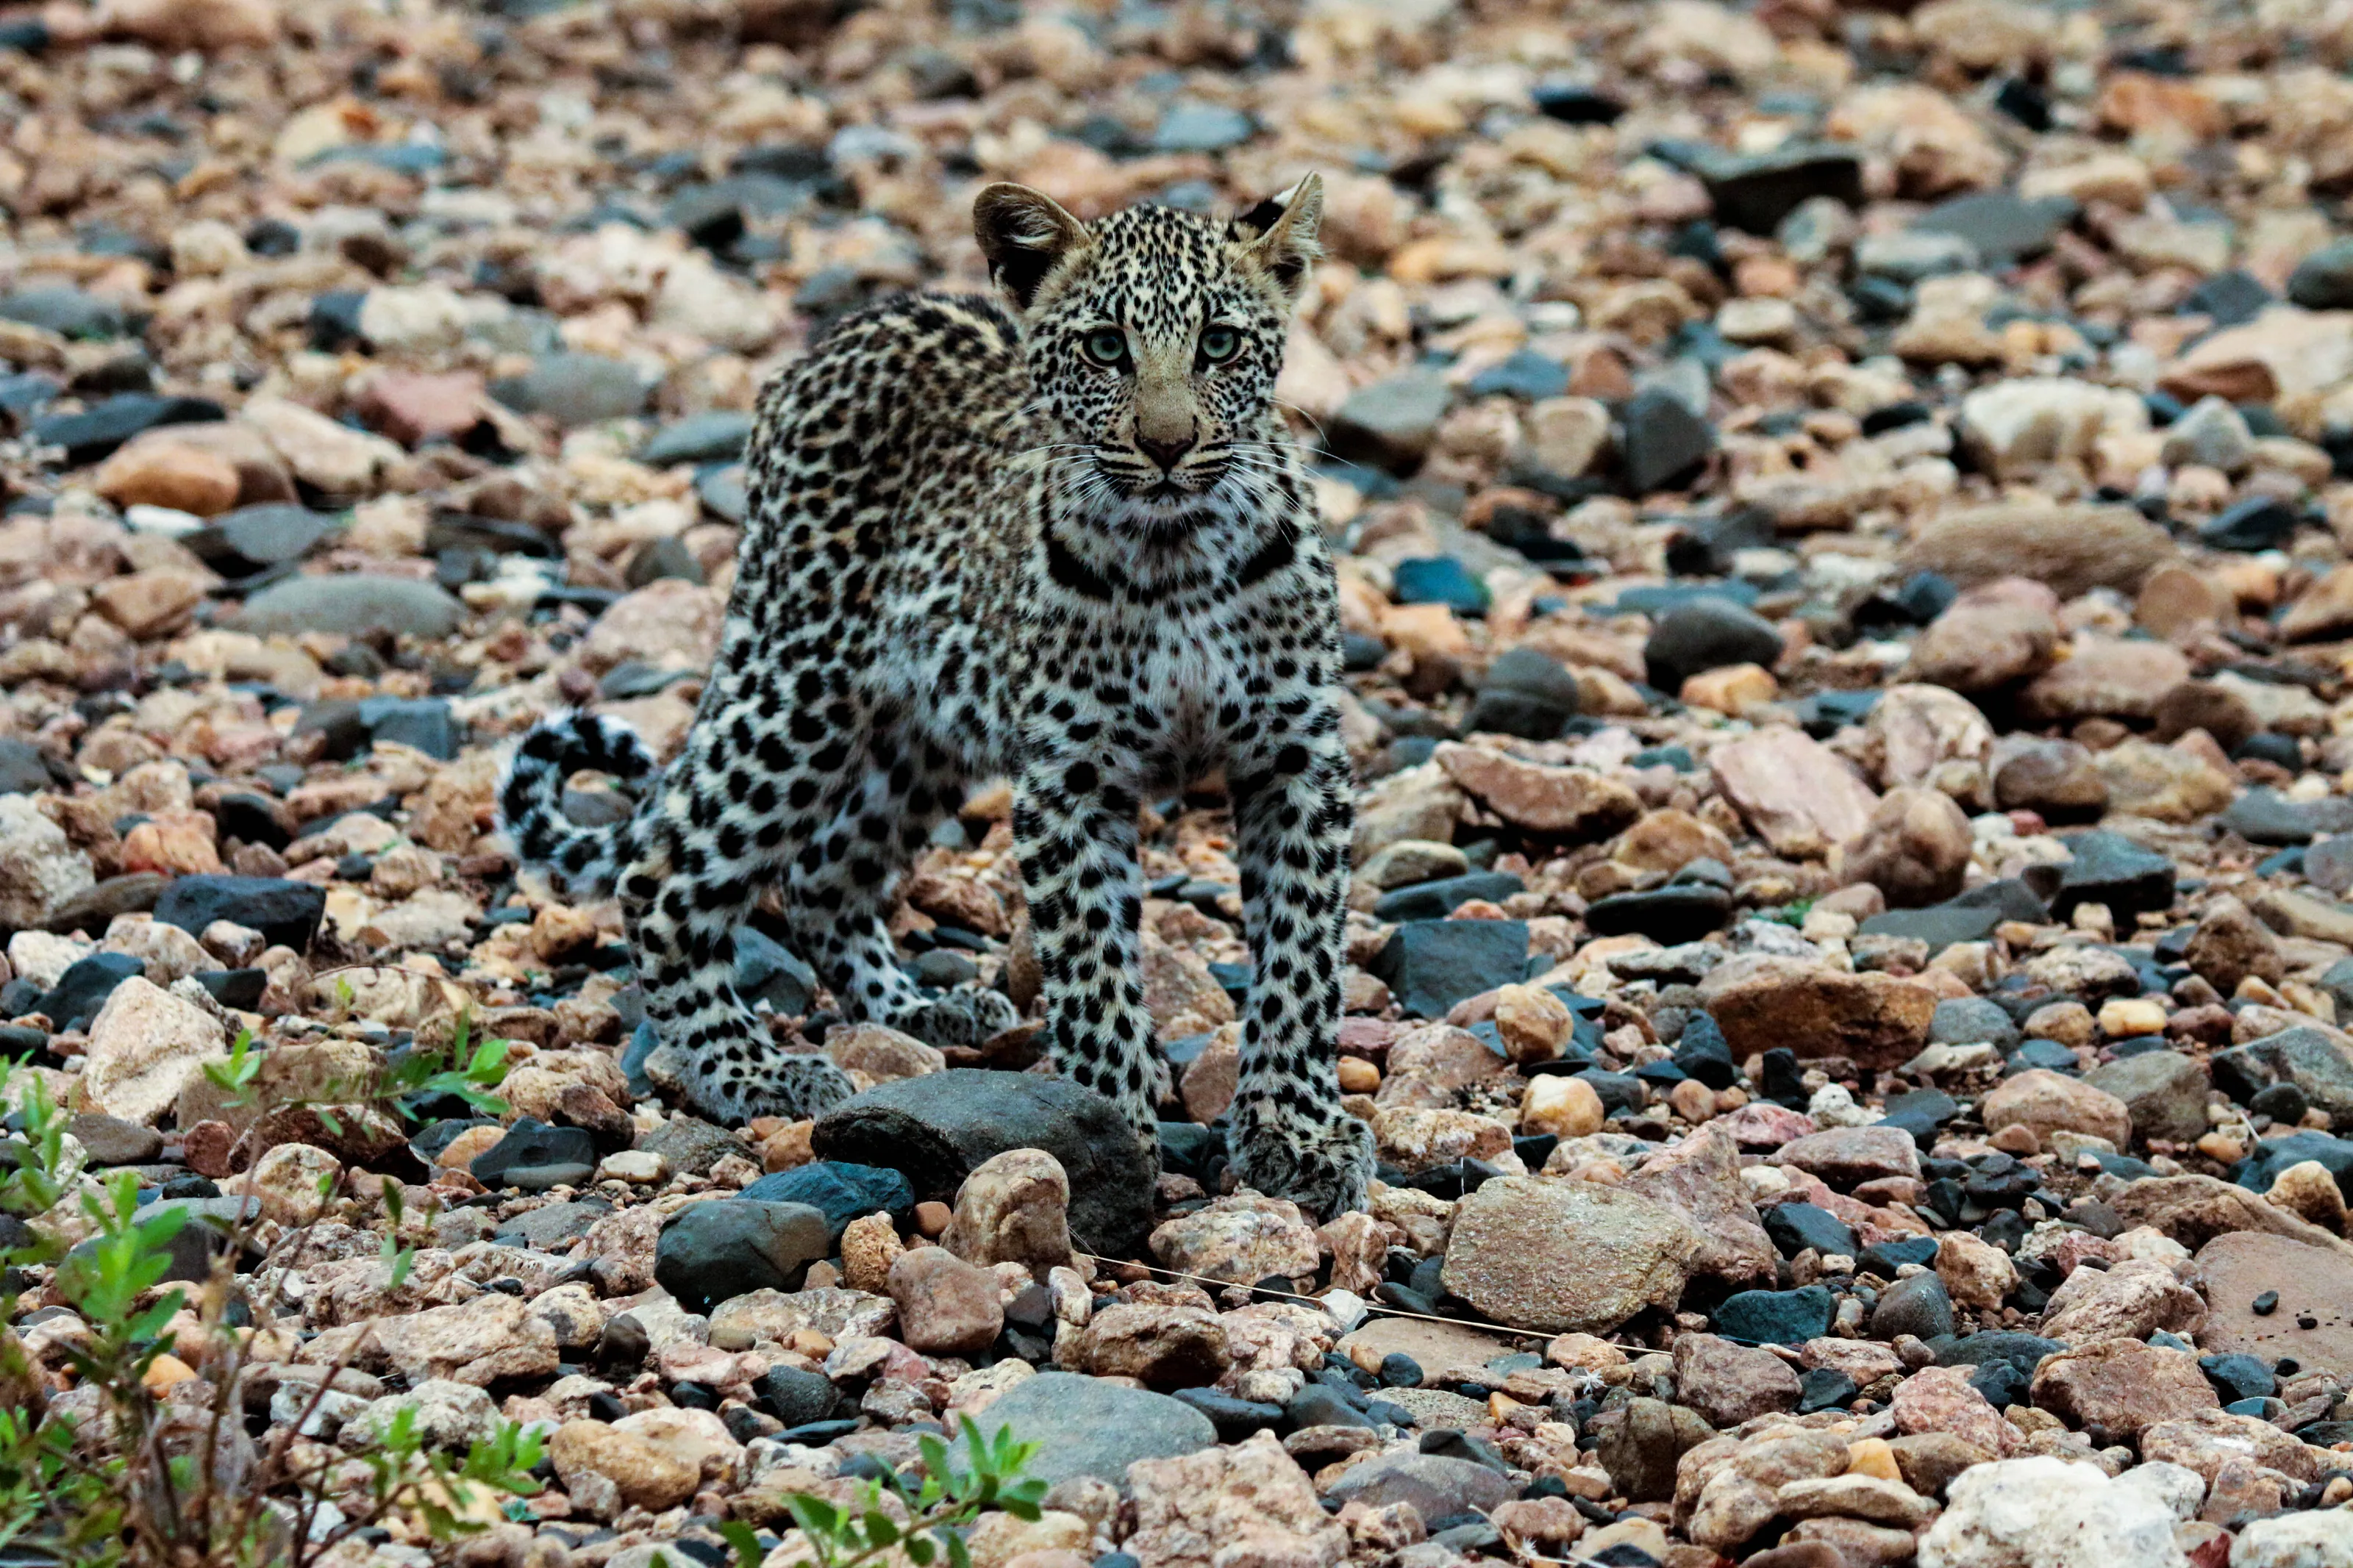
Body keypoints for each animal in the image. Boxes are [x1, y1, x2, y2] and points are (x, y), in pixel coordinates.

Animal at [499, 176, 1373, 1219]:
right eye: (1104, 347)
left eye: (1220, 344)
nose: (1166, 447)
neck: (1180, 551)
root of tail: (833, 340)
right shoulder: (1069, 777)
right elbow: (1094, 972)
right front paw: (1112, 1140)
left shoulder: (1295, 761)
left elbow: (1301, 963)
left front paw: (1296, 1135)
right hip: (800, 686)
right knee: (664, 872)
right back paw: (755, 1071)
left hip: (919, 732)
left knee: (824, 876)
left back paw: (925, 1011)